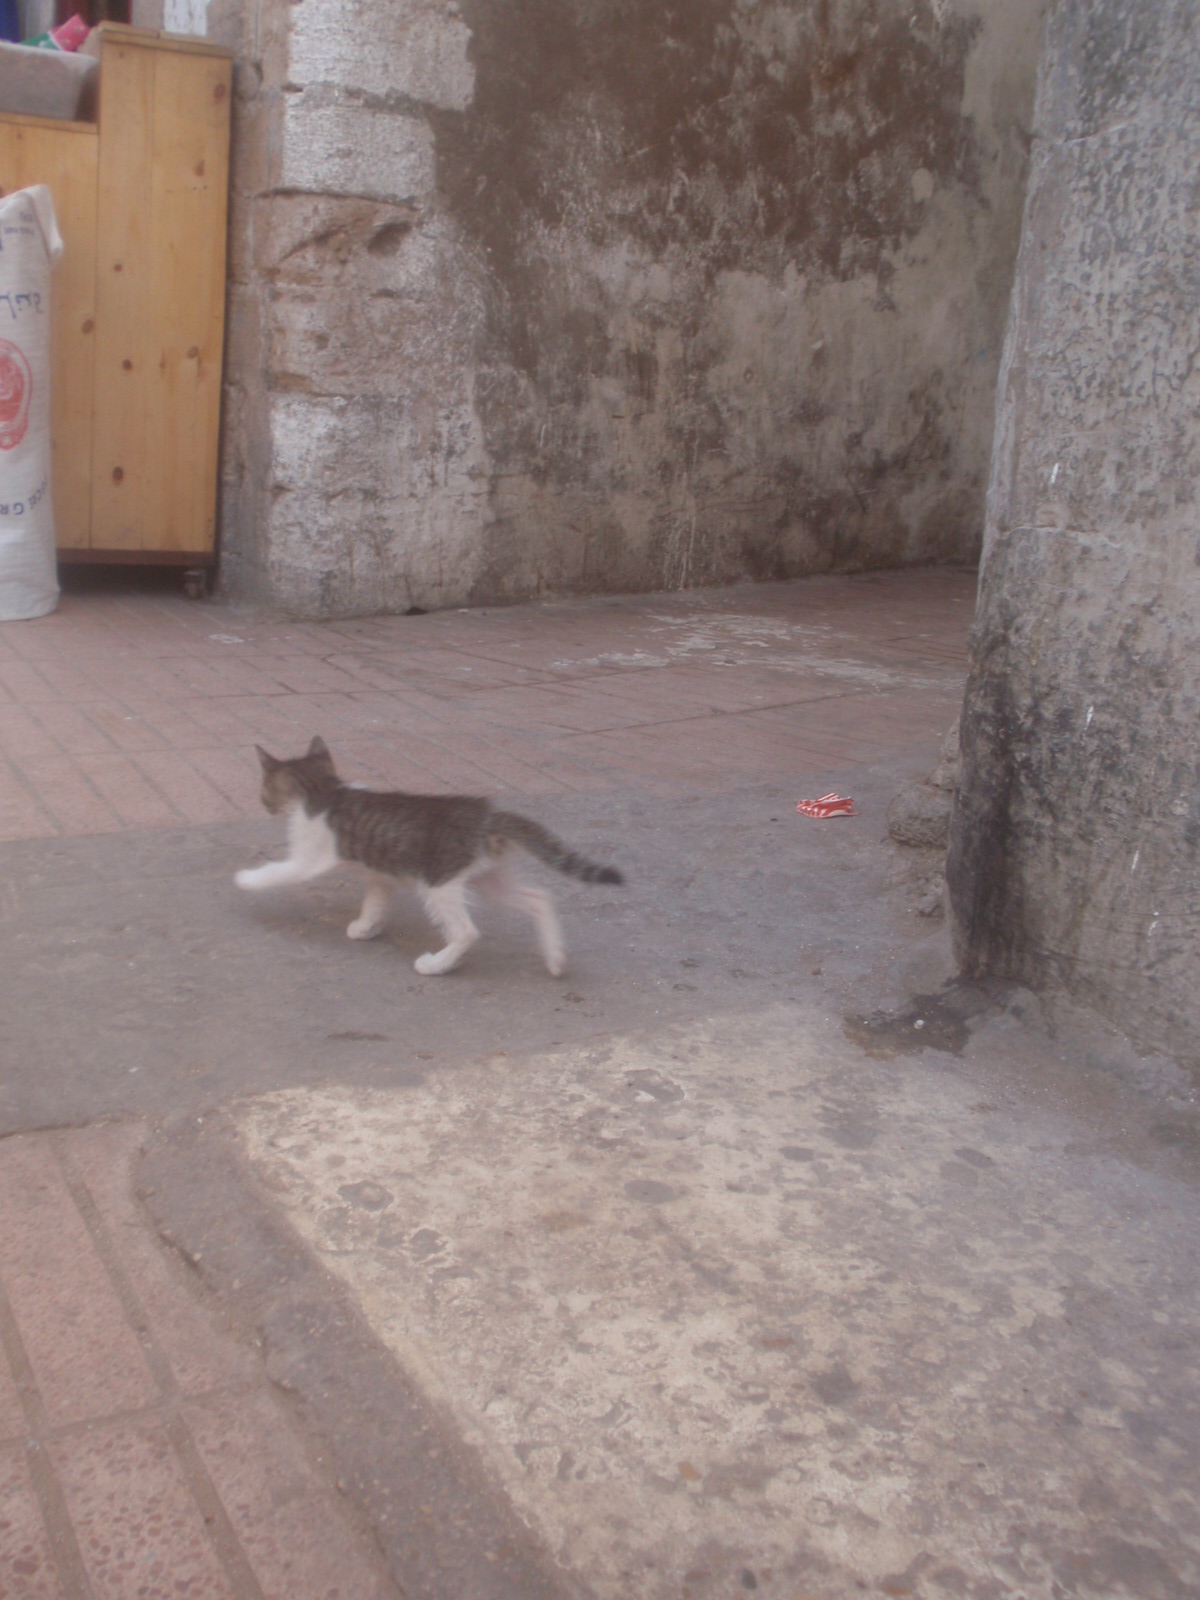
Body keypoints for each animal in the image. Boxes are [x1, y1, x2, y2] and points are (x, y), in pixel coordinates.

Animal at [238, 736, 624, 972]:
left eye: (263, 790)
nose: (263, 804)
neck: (323, 790)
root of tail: (487, 815)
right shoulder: (381, 876)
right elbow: (374, 902)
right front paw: (365, 927)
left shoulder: (306, 859)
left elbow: (277, 872)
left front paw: (245, 879)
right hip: (486, 878)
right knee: (538, 898)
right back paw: (555, 957)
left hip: (439, 881)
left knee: (467, 932)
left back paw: (437, 965)